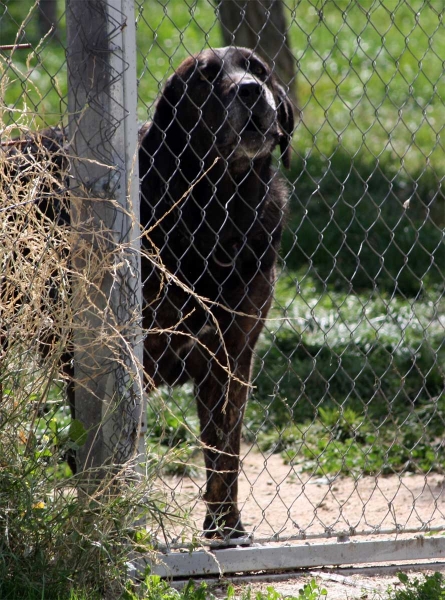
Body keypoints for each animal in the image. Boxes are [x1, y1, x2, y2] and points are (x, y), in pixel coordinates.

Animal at [139, 47, 292, 540]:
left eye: (258, 69)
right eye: (205, 77)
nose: (250, 90)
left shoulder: (231, 357)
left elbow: (225, 454)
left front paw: (225, 530)